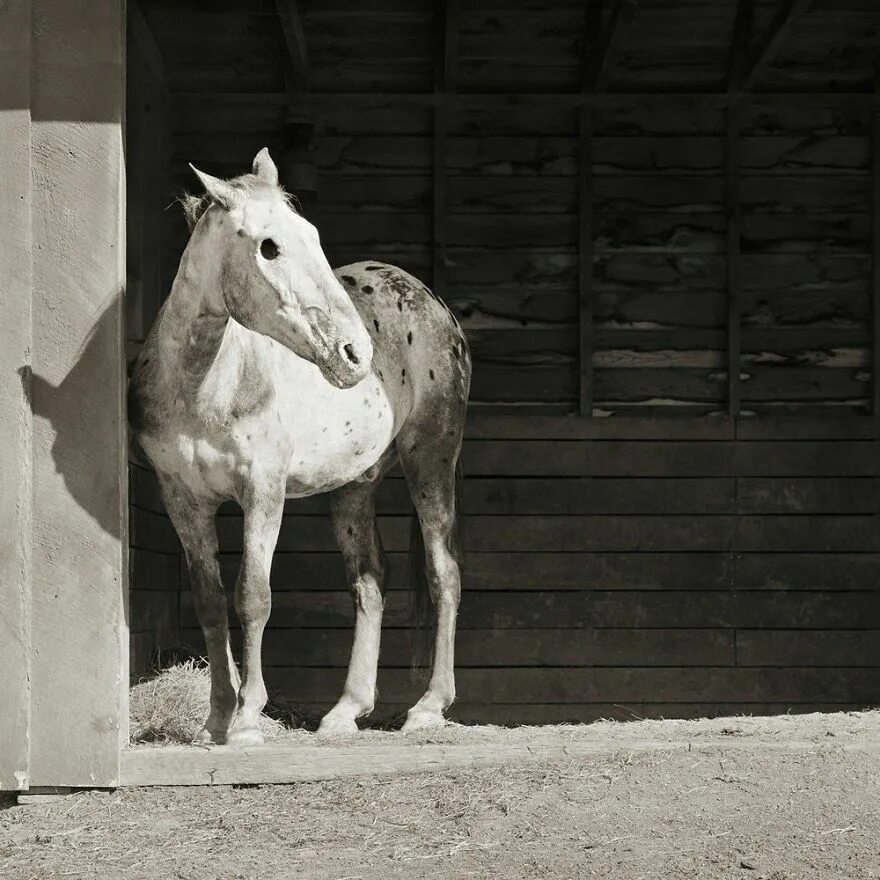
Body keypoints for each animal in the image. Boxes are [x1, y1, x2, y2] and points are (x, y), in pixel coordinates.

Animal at [128, 148, 471, 744]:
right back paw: (345, 711)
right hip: (354, 488)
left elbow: (253, 596)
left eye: (311, 234)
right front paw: (215, 719)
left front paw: (246, 719)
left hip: (431, 458)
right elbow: (210, 601)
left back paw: (428, 708)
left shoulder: (263, 491)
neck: (201, 385)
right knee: (369, 582)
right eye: (269, 246)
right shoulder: (183, 500)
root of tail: (431, 302)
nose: (355, 354)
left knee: (443, 572)